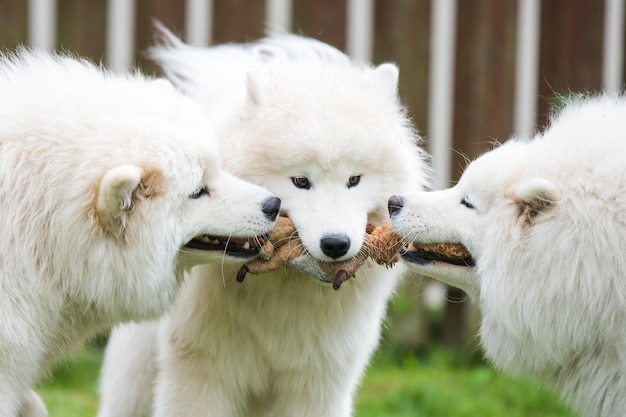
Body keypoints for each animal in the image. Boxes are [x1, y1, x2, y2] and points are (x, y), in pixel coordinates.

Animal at [96, 30, 428, 414]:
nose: (335, 244)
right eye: (300, 181)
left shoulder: (316, 385)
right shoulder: (202, 372)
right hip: (135, 382)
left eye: (354, 179)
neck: (286, 292)